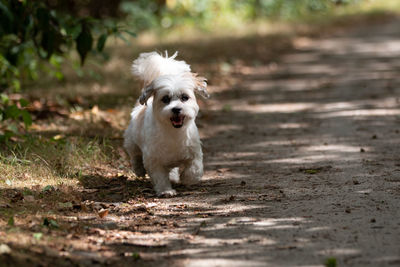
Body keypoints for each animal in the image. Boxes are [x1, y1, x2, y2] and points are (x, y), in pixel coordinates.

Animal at [123, 51, 208, 197]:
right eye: (166, 99)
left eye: (184, 97)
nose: (176, 109)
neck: (174, 133)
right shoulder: (153, 159)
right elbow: (160, 176)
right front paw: (166, 190)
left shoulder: (194, 151)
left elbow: (195, 169)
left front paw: (187, 178)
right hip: (132, 141)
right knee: (134, 155)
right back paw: (139, 169)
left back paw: (173, 176)